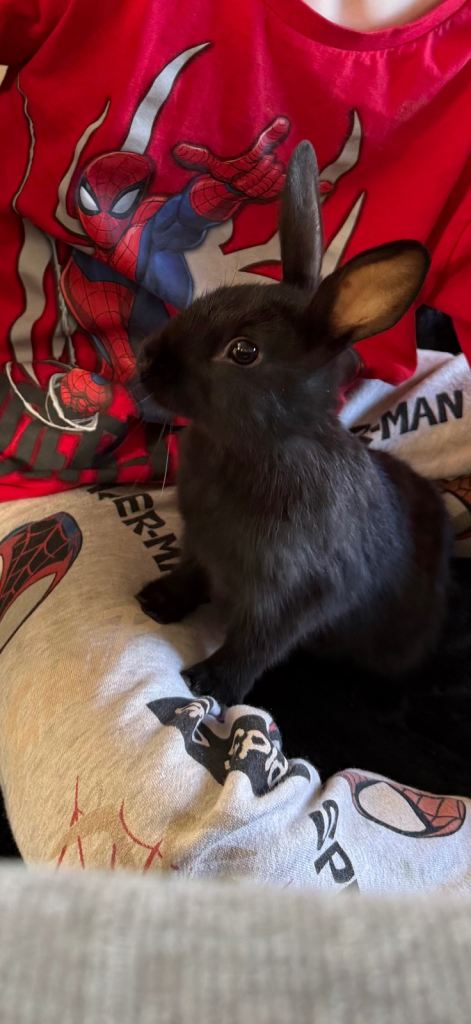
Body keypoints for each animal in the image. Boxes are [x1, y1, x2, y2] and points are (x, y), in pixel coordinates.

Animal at [137, 140, 451, 708]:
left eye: (243, 351)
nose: (145, 361)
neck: (258, 445)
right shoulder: (200, 546)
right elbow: (190, 572)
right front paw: (157, 600)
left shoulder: (297, 594)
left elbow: (256, 645)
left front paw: (207, 683)